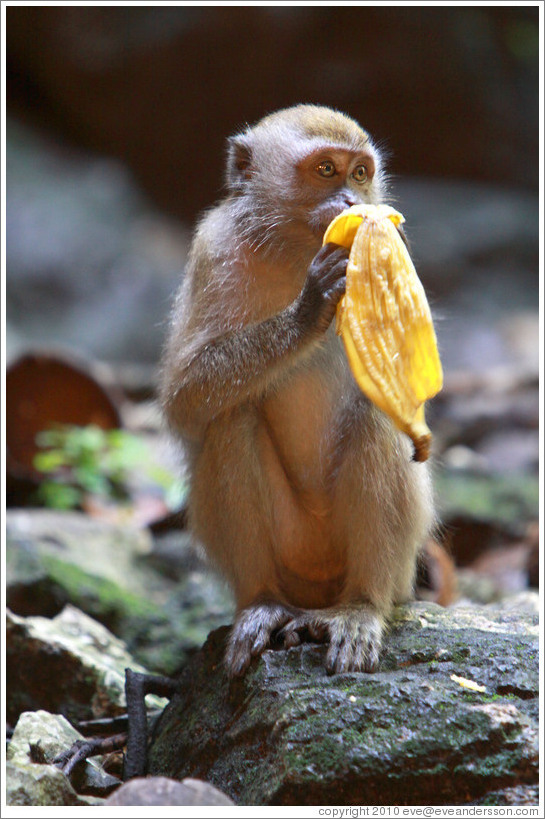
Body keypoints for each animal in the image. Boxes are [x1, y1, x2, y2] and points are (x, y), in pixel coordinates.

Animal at [158, 104, 434, 680]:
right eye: (326, 170)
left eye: (360, 173)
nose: (352, 201)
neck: (294, 248)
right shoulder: (212, 251)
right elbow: (185, 400)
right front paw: (308, 310)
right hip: (292, 551)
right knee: (231, 419)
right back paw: (263, 603)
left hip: (380, 566)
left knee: (375, 416)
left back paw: (361, 607)